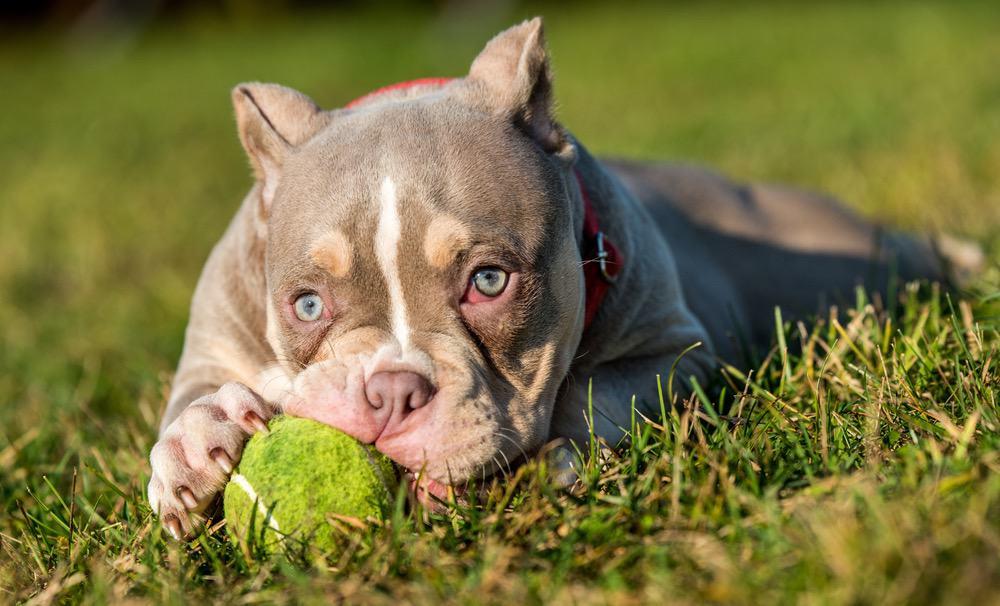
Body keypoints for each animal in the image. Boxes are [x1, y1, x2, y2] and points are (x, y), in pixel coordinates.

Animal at [146, 19, 968, 540]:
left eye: (488, 282)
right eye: (308, 304)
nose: (390, 395)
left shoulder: (674, 349)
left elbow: (590, 392)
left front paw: (559, 464)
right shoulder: (216, 337)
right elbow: (192, 395)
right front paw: (196, 442)